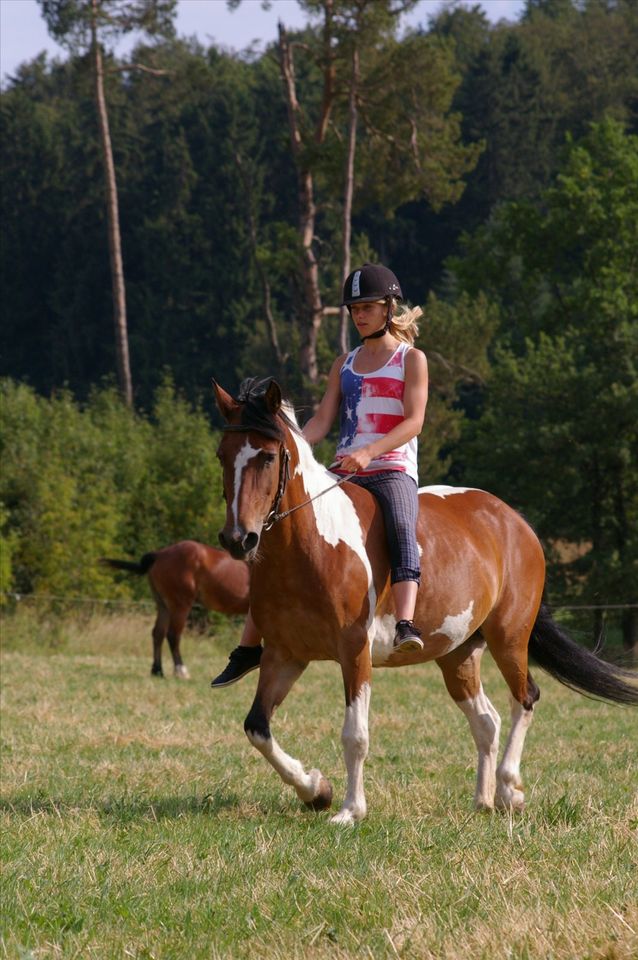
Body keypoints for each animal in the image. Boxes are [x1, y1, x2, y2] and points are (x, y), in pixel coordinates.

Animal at [101, 540, 249, 684]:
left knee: (158, 633)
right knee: (173, 635)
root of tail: (159, 555)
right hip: (180, 605)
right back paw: (181, 671)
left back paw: (158, 671)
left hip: (163, 605)